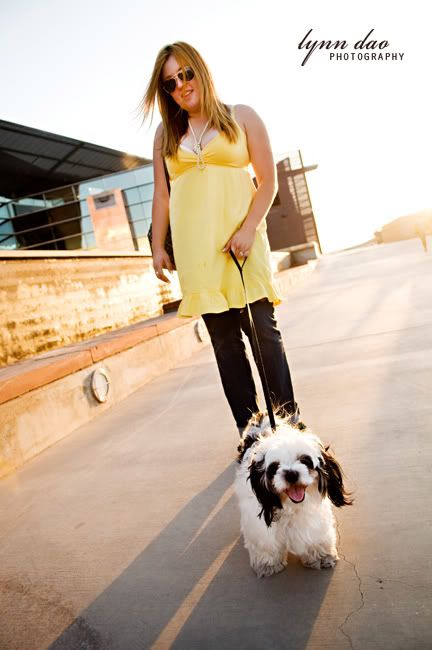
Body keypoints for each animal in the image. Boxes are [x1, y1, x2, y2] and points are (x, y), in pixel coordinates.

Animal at [235, 418, 352, 576]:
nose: (291, 474)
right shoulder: (259, 527)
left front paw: (321, 556)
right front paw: (268, 564)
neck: (292, 506)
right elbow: (266, 544)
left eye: (304, 460)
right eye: (275, 466)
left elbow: (316, 535)